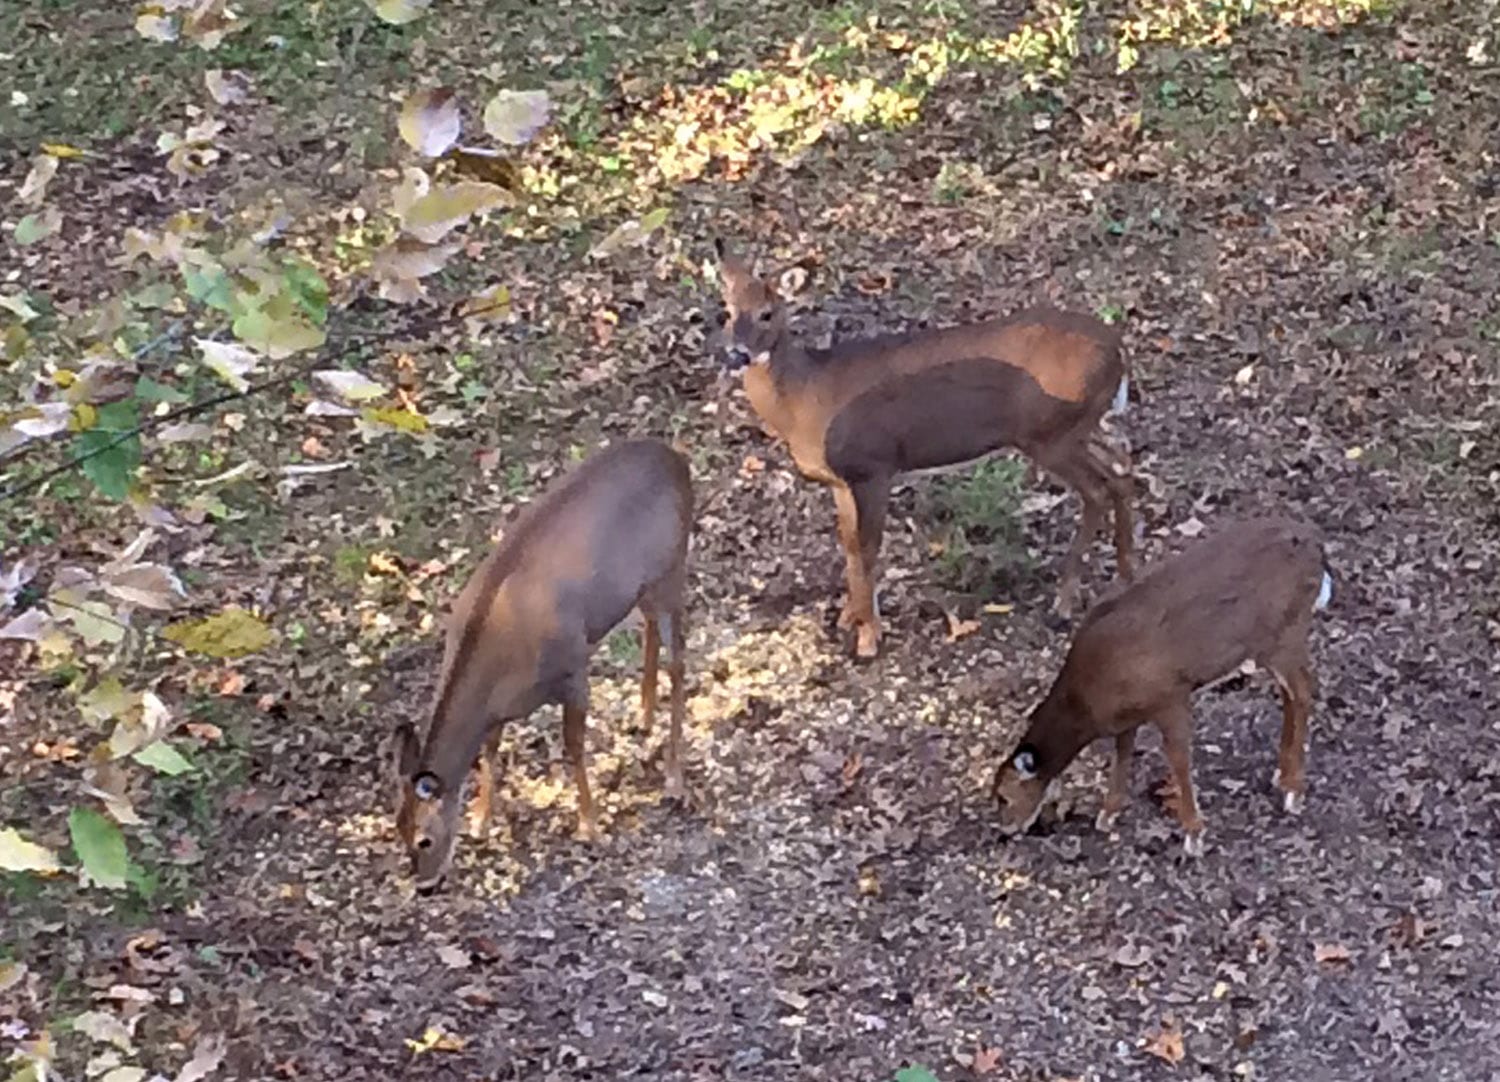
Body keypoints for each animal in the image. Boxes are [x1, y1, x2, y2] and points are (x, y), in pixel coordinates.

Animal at [387, 435, 690, 888]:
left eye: (425, 839)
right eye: (398, 828)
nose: (425, 886)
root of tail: (678, 460)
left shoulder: (573, 667)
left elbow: (574, 746)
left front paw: (589, 825)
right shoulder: (499, 710)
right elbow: (490, 749)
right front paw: (481, 819)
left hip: (673, 566)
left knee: (680, 660)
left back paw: (674, 779)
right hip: (640, 589)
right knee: (652, 630)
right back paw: (643, 715)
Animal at [714, 240, 1134, 654]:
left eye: (767, 313)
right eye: (727, 311)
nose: (736, 354)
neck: (806, 397)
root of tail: (1118, 348)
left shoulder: (874, 466)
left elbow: (868, 546)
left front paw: (869, 637)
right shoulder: (841, 481)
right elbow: (849, 544)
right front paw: (849, 618)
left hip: (1049, 434)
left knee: (1097, 489)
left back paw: (1064, 605)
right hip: (1077, 430)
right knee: (1121, 469)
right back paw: (1124, 579)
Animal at [990, 516, 1332, 852]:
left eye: (1004, 797)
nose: (1005, 830)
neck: (1088, 696)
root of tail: (1316, 546)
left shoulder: (1170, 696)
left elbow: (1178, 758)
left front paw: (1194, 834)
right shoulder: (1128, 715)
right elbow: (1123, 753)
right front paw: (1108, 813)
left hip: (1285, 634)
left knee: (1303, 691)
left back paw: (1294, 790)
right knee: (1290, 694)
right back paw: (1281, 775)